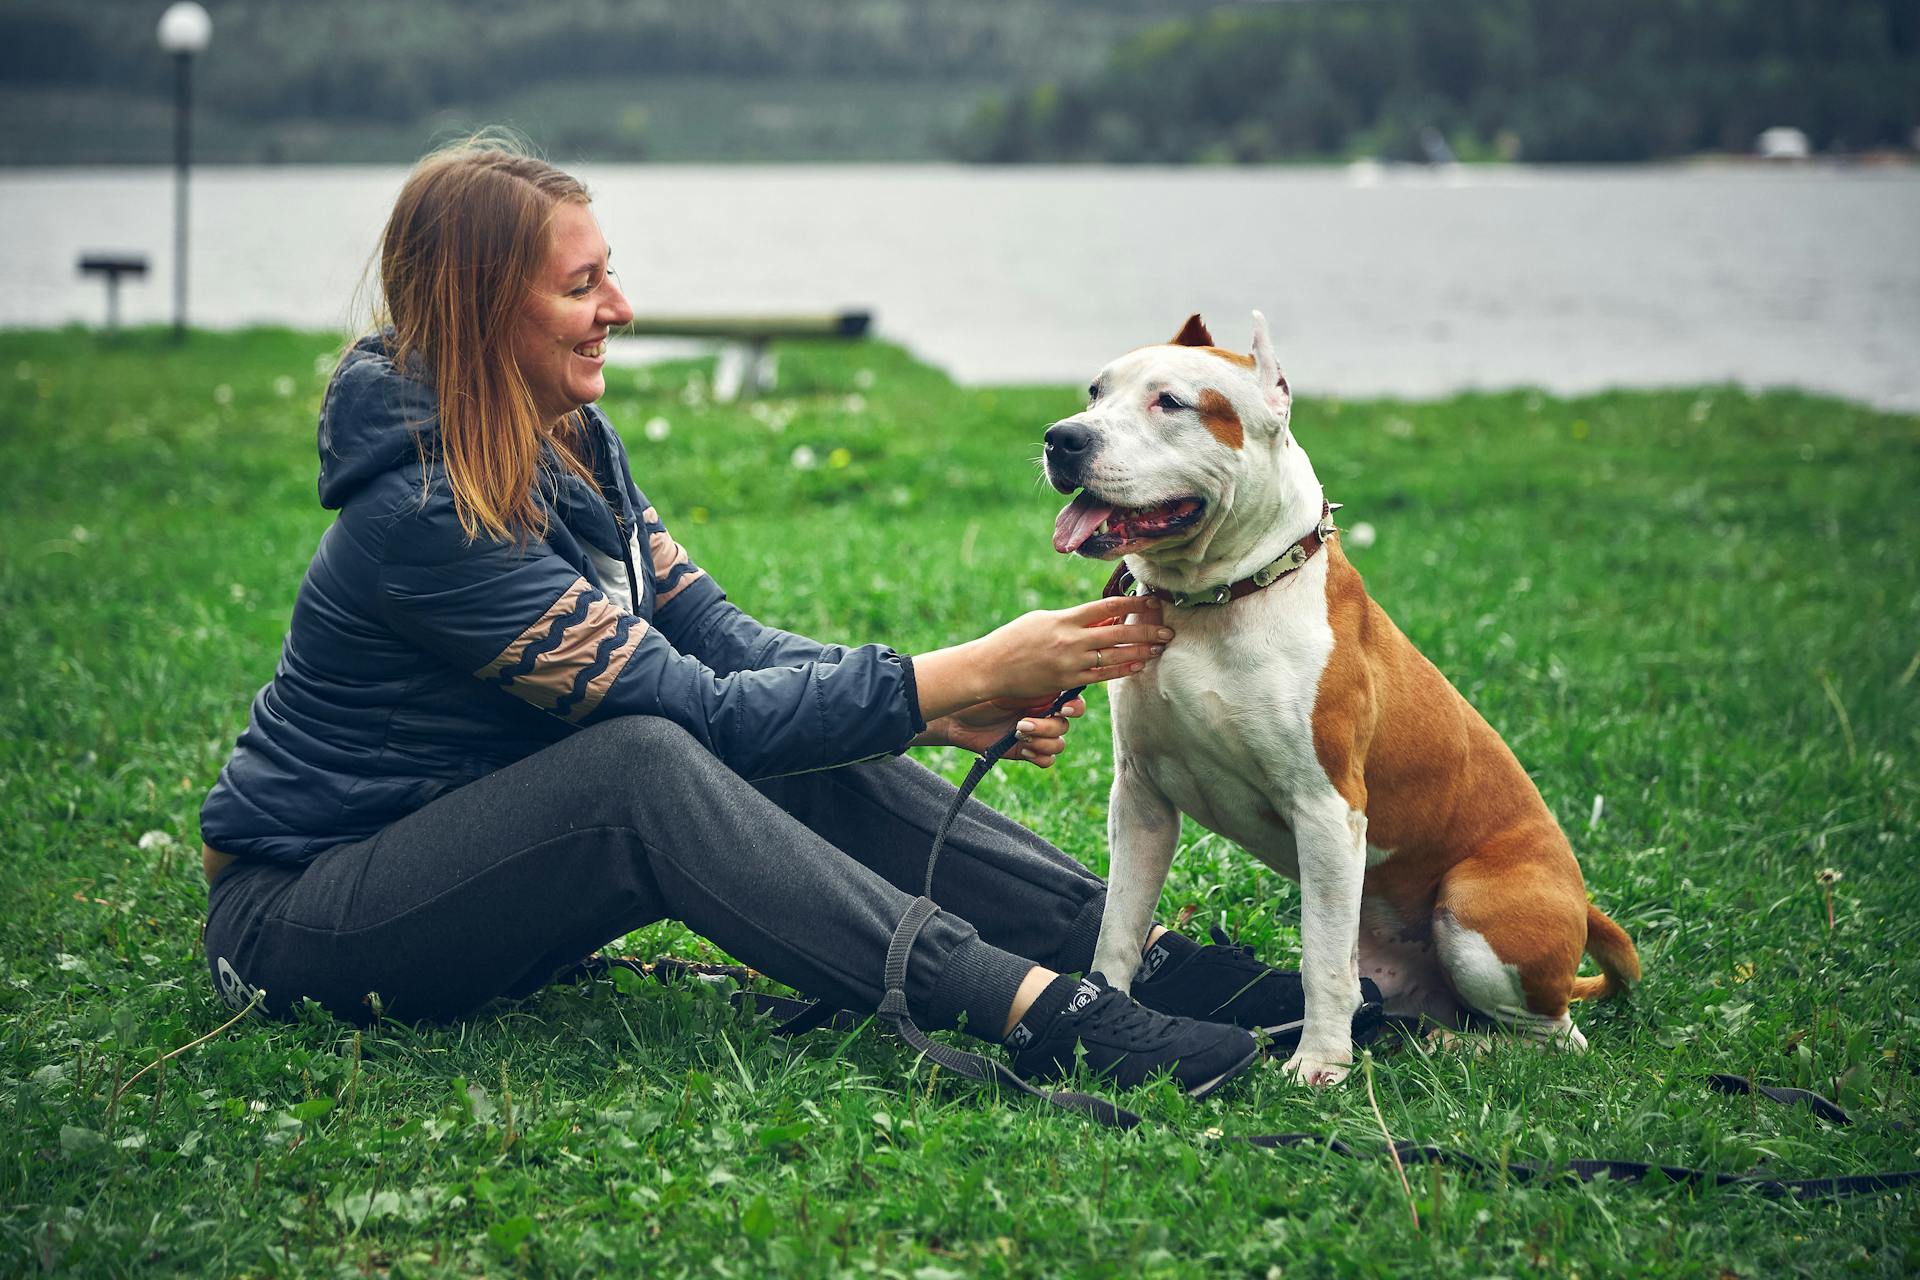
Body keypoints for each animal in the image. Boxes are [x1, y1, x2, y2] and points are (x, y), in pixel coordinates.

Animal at [1044, 314, 1643, 1090]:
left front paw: (1319, 1066)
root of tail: (1583, 908)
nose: (1063, 437)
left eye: (1171, 402)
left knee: (1558, 1038)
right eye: (1095, 391)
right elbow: (1119, 925)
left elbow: (1322, 959)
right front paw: (1105, 1006)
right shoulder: (1141, 797)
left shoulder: (1326, 810)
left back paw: (1464, 1049)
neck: (1216, 601)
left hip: (1475, 909)